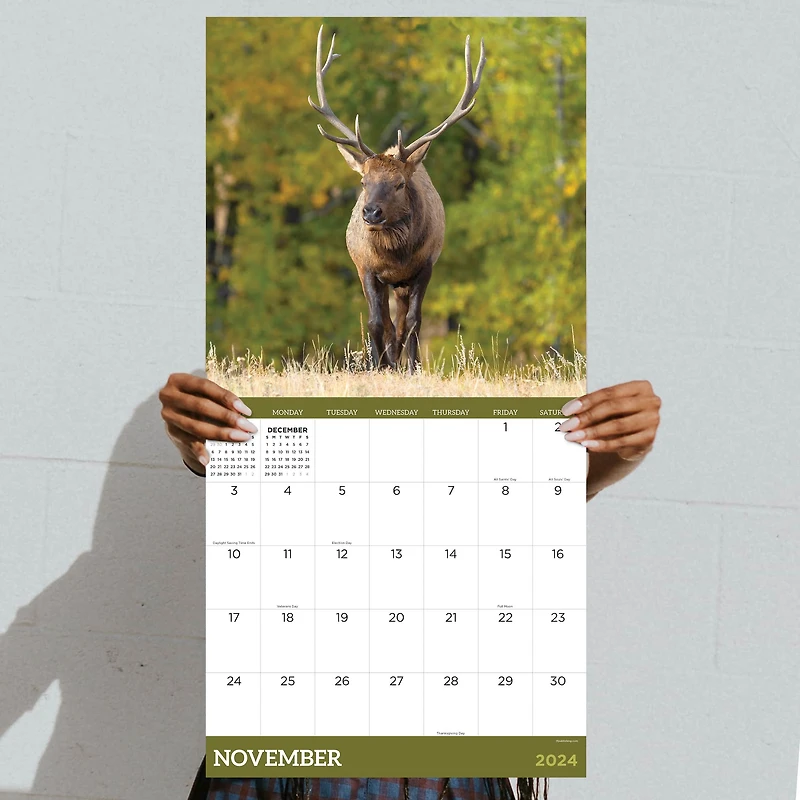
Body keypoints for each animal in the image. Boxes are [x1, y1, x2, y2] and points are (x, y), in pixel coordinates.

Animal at [308, 25, 486, 371]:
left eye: (400, 183)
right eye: (364, 181)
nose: (371, 213)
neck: (395, 257)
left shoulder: (425, 266)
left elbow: (413, 322)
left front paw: (412, 368)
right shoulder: (365, 268)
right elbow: (376, 323)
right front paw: (377, 366)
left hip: (404, 284)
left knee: (402, 324)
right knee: (389, 325)